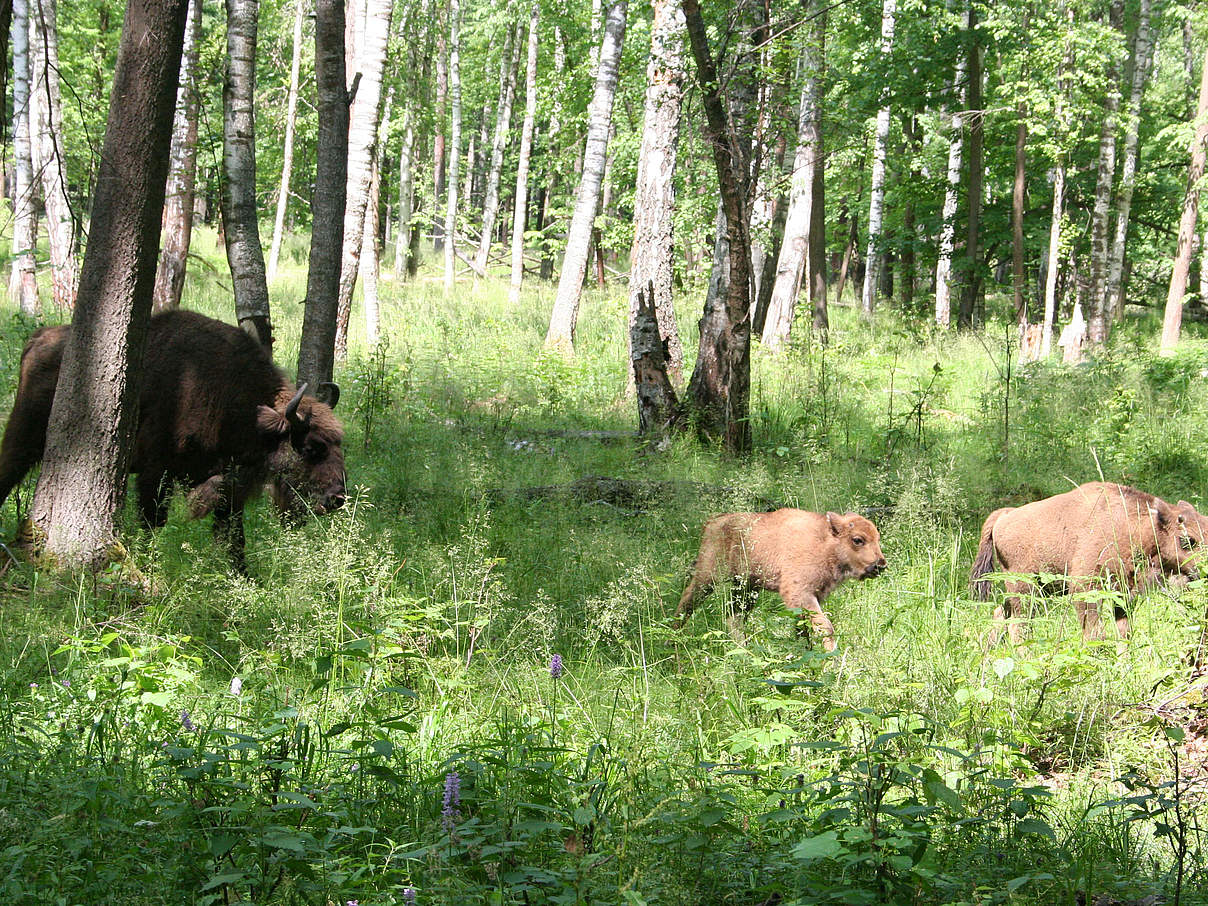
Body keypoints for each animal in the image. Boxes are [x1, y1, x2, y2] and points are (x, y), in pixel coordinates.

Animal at [0, 311, 347, 567]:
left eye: (340, 445)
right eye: (311, 448)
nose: (337, 498)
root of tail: (40, 337)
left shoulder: (226, 485)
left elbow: (234, 537)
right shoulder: (157, 474)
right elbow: (154, 522)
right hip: (23, 437)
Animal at [671, 512, 889, 652]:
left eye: (877, 538)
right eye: (858, 539)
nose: (880, 565)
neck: (825, 542)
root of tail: (713, 522)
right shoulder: (800, 593)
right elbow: (825, 626)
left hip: (746, 586)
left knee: (733, 616)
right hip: (708, 576)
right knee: (689, 600)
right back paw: (671, 639)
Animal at [971, 483, 1208, 647]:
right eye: (1187, 540)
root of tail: (1004, 516)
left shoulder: (1124, 594)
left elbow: (1123, 632)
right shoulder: (1085, 589)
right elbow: (1095, 633)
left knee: (1001, 613)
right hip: (1025, 588)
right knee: (1018, 626)